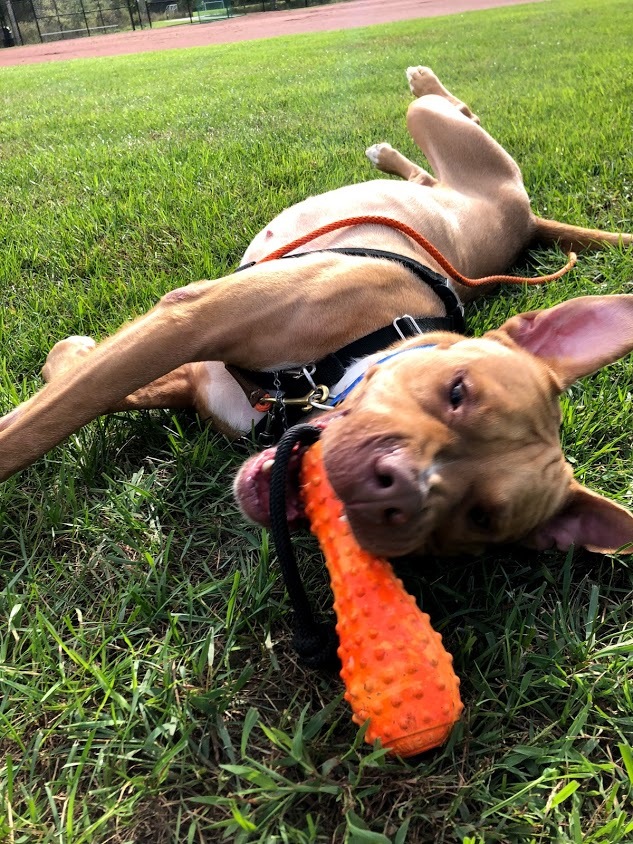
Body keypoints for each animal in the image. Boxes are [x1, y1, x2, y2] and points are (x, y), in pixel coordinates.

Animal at [0, 67, 628, 560]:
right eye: (458, 391)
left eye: (478, 519)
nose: (393, 493)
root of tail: (528, 221)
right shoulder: (191, 323)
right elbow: (49, 412)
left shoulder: (186, 348)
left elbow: (57, 401)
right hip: (443, 135)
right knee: (446, 116)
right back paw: (416, 99)